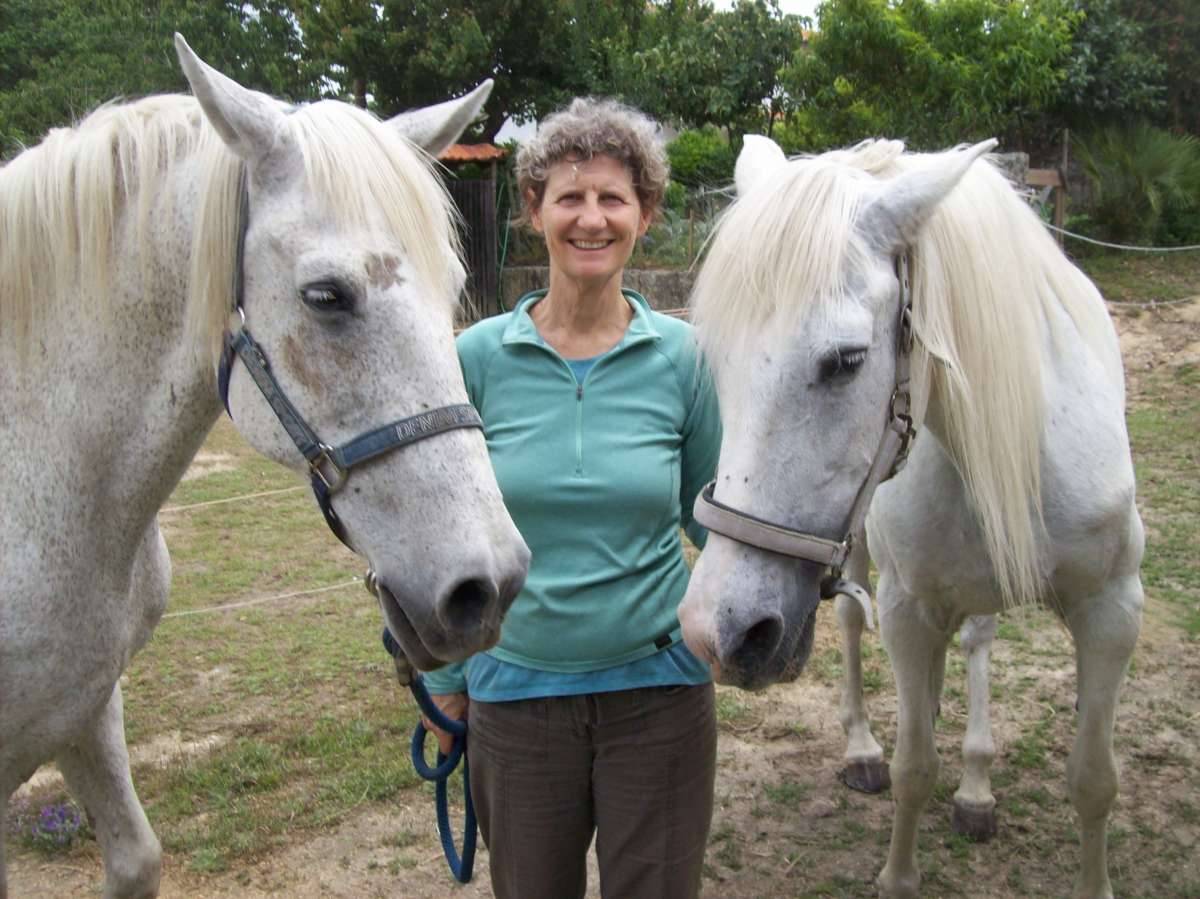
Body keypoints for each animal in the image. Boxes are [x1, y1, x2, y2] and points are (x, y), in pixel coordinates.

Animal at [686, 135, 1142, 897]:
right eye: (716, 362)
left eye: (846, 360)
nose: (719, 632)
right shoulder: (906, 609)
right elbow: (913, 769)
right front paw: (900, 863)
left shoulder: (1113, 611)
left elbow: (1095, 780)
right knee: (851, 626)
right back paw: (865, 746)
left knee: (979, 639)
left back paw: (977, 785)